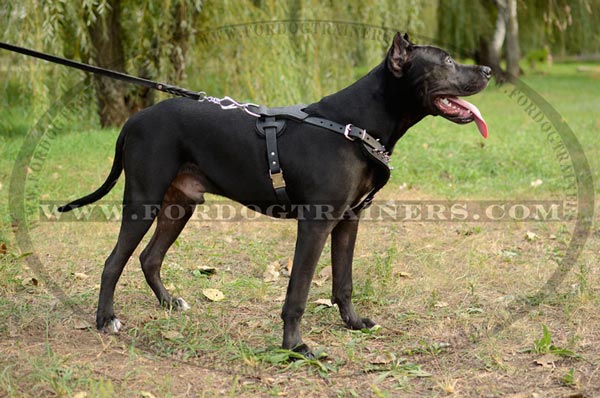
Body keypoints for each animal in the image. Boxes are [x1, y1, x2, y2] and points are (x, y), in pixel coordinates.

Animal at [59, 34, 492, 354]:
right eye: (446, 61)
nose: (488, 69)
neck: (354, 124)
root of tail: (133, 120)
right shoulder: (315, 224)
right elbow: (297, 292)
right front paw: (295, 347)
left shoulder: (349, 220)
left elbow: (344, 282)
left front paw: (352, 323)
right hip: (144, 199)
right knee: (113, 261)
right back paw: (105, 320)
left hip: (180, 204)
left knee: (150, 257)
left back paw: (169, 303)